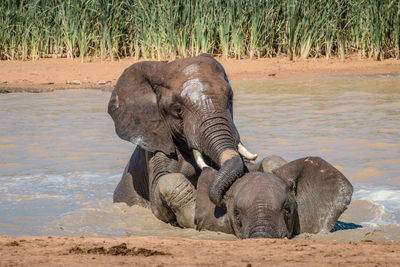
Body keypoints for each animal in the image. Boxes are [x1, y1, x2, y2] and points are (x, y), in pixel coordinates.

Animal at [108, 54, 255, 228]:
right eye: (177, 109)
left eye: (231, 98)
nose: (224, 201)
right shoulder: (158, 145)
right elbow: (163, 186)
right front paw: (193, 218)